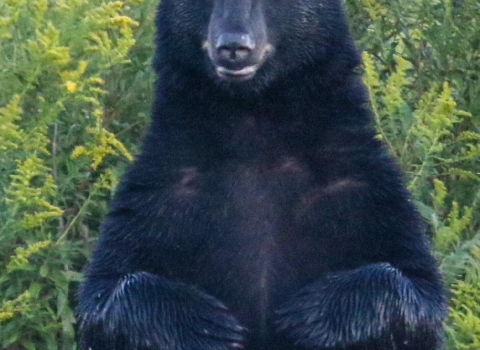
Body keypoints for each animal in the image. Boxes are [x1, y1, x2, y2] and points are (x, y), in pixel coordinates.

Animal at [75, 0, 446, 348]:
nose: (234, 46)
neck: (253, 121)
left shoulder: (359, 184)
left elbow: (415, 284)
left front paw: (308, 315)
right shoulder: (163, 187)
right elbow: (105, 291)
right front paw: (208, 325)